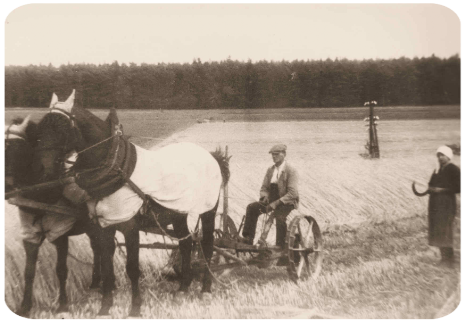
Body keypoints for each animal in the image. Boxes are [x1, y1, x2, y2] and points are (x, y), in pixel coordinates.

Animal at [0, 115, 103, 316]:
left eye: (20, 151)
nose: (5, 187)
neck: (42, 191)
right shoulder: (30, 234)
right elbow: (29, 271)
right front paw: (24, 308)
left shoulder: (60, 233)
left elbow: (61, 270)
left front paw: (62, 305)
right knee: (97, 248)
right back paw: (96, 283)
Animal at [35, 89, 231, 316]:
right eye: (41, 126)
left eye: (62, 128)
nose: (42, 171)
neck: (114, 166)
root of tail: (212, 156)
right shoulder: (104, 226)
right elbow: (107, 266)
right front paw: (105, 308)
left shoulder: (130, 227)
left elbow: (132, 268)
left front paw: (135, 308)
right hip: (179, 213)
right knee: (185, 244)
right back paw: (183, 288)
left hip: (208, 211)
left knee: (207, 246)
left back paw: (206, 289)